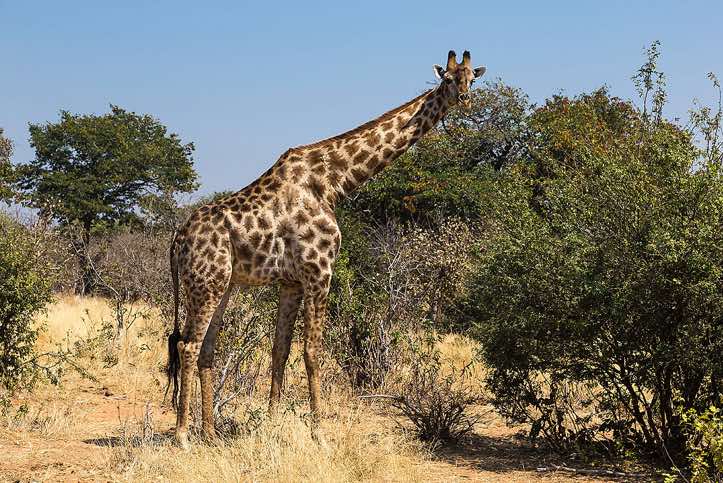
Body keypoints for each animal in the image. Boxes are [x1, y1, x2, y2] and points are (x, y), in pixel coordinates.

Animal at [167, 50, 486, 448]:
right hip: (204, 283)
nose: (465, 100)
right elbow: (313, 352)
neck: (333, 183)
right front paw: (319, 431)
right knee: (187, 346)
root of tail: (178, 239)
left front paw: (272, 422)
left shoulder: (291, 281)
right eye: (448, 79)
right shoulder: (319, 270)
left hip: (222, 285)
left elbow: (280, 350)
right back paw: (183, 436)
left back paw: (210, 433)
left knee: (206, 348)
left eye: (472, 79)